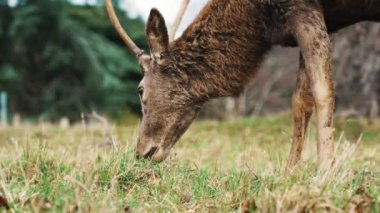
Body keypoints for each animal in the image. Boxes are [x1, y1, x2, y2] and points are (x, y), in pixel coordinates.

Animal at [104, 0, 380, 170]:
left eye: (140, 89)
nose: (142, 152)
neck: (258, 21)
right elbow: (301, 103)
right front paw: (290, 173)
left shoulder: (303, 8)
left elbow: (324, 92)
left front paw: (324, 174)